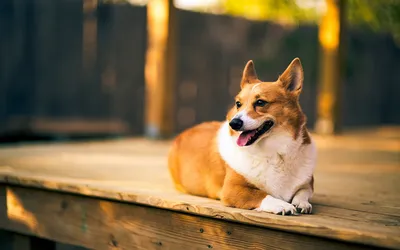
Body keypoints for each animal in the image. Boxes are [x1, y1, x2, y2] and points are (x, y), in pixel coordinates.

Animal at [166, 58, 316, 215]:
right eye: (238, 104)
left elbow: (303, 192)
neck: (275, 151)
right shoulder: (232, 189)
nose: (234, 123)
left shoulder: (308, 184)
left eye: (260, 102)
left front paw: (302, 203)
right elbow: (262, 195)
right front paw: (282, 205)